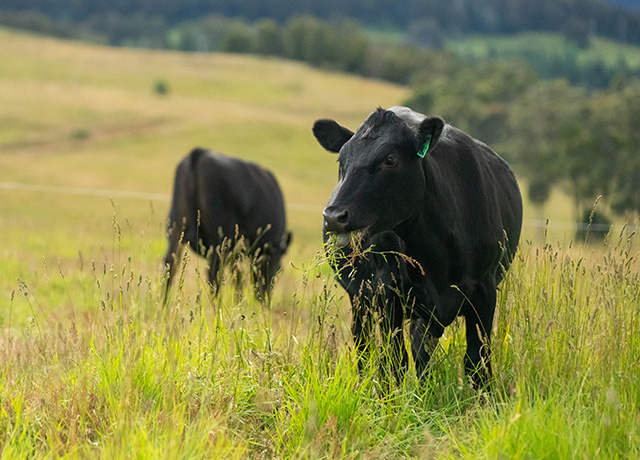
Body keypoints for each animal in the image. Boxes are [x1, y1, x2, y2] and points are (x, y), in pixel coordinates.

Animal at [163, 148, 292, 300]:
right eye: (279, 269)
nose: (265, 297)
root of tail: (202, 153)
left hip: (177, 232)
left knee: (170, 268)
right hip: (219, 241)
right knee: (214, 276)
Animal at [313, 106, 523, 387]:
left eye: (390, 160)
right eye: (341, 161)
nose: (334, 216)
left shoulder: (484, 290)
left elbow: (476, 359)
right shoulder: (387, 292)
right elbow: (393, 361)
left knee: (420, 346)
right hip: (361, 298)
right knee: (365, 347)